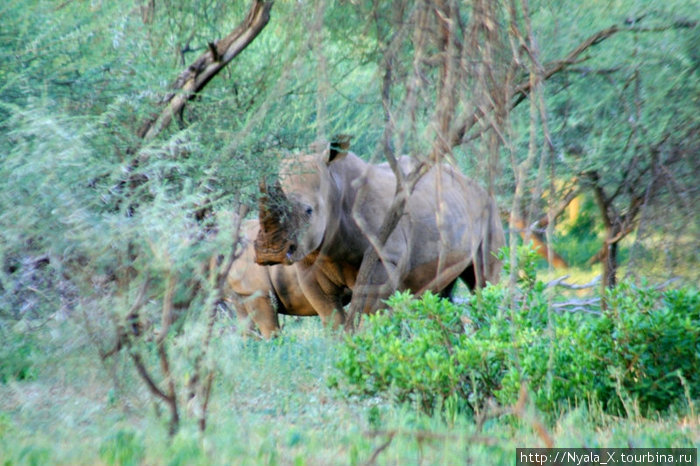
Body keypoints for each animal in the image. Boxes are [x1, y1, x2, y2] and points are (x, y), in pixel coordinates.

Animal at [254, 138, 506, 328]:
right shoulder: (310, 263)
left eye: (309, 211)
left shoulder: (384, 259)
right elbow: (332, 319)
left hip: (487, 208)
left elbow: (369, 316)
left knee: (484, 282)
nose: (269, 253)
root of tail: (473, 183)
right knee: (442, 291)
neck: (334, 186)